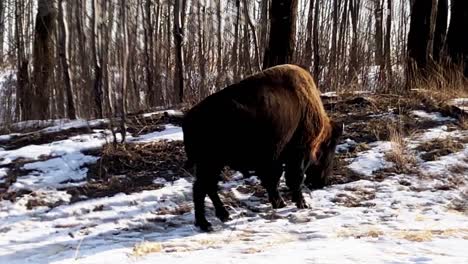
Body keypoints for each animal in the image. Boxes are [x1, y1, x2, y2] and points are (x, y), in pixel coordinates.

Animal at [182, 64, 340, 231]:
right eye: (329, 150)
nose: (323, 182)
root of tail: (189, 118)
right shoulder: (298, 152)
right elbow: (292, 178)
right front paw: (302, 204)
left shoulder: (273, 159)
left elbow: (272, 180)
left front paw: (280, 203)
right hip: (211, 164)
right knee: (202, 188)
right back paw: (206, 223)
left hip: (212, 165)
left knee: (207, 187)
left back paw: (222, 216)